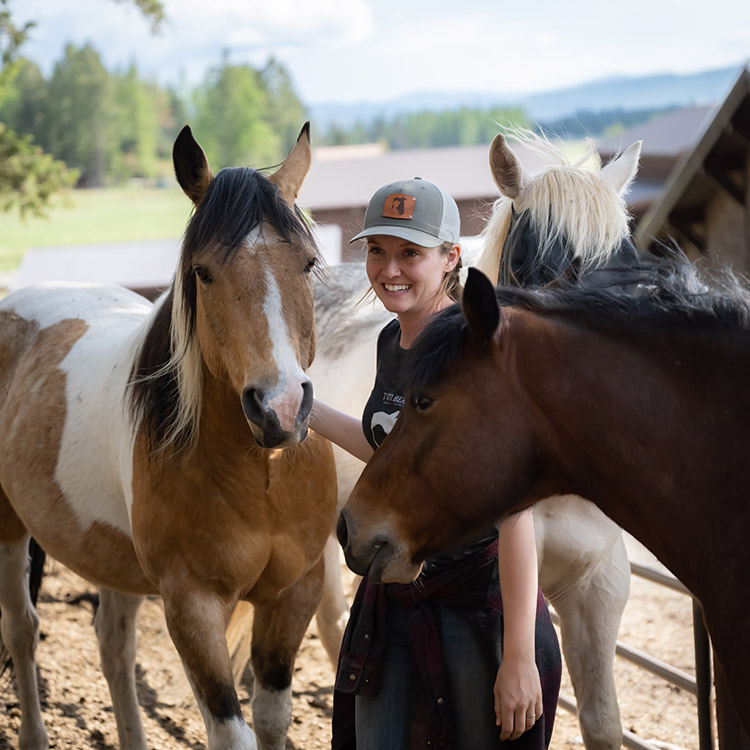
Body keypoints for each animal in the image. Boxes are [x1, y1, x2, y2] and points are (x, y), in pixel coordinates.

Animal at [0, 125, 338, 750]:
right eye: (203, 272)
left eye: (306, 264)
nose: (280, 408)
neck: (262, 478)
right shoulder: (192, 606)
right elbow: (232, 732)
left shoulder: (293, 594)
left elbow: (271, 720)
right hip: (9, 527)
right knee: (22, 630)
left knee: (113, 646)